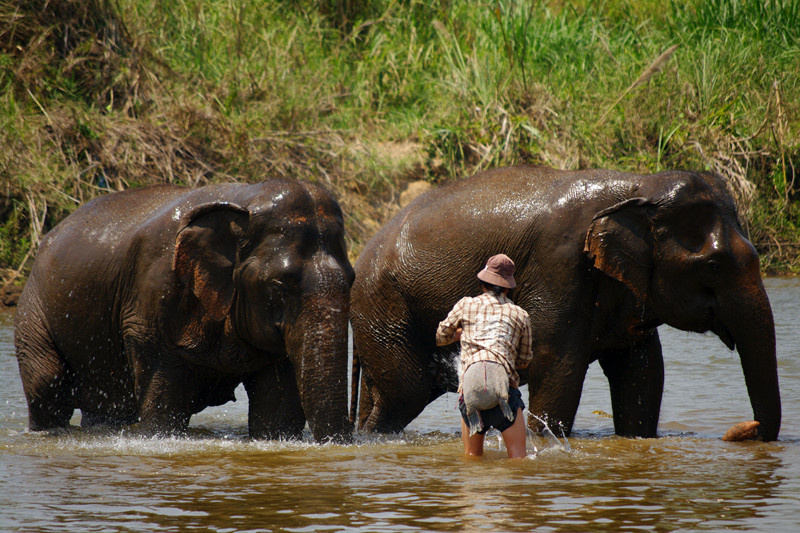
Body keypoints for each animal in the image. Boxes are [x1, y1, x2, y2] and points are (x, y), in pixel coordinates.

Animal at [13, 179, 354, 440]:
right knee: (47, 385)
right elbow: (164, 409)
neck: (244, 199)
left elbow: (276, 413)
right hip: (32, 309)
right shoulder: (151, 300)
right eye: (280, 285)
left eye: (351, 280)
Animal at [352, 164, 780, 438]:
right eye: (713, 266)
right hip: (385, 309)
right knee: (402, 395)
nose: (748, 428)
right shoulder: (558, 266)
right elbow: (558, 365)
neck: (637, 185)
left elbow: (642, 370)